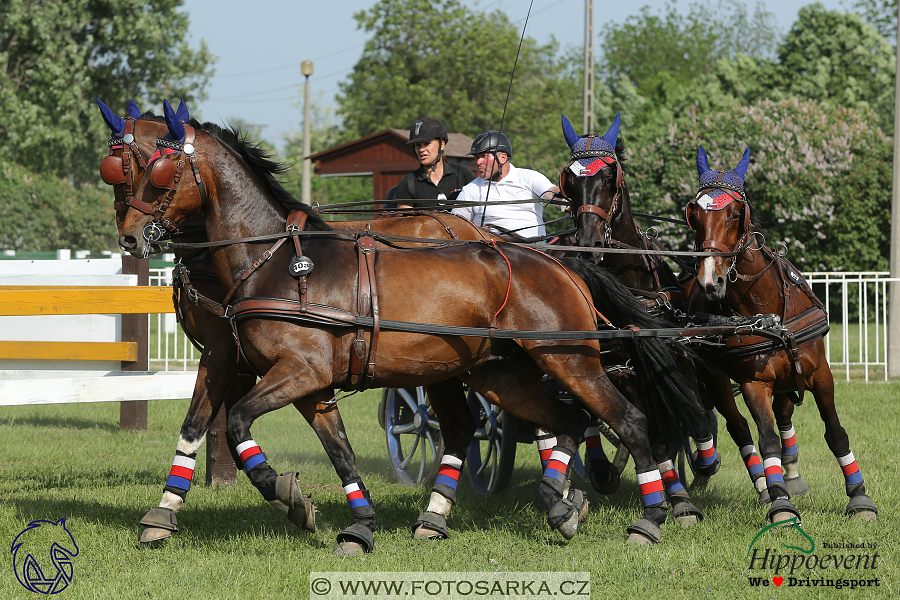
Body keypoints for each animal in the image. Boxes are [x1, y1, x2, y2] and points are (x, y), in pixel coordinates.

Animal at [116, 101, 712, 548]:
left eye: (158, 172)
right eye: (128, 171)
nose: (128, 236)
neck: (278, 260)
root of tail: (560, 260)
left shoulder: (299, 372)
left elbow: (238, 423)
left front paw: (282, 490)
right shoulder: (309, 385)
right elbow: (338, 450)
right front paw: (356, 524)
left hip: (570, 360)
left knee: (627, 420)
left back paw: (651, 516)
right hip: (501, 373)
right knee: (562, 421)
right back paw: (556, 504)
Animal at [684, 145, 876, 520]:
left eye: (734, 214)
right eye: (694, 215)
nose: (710, 280)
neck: (768, 309)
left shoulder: (819, 373)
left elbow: (836, 433)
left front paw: (859, 496)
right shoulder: (754, 383)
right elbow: (766, 438)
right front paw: (780, 502)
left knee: (785, 414)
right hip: (716, 377)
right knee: (739, 427)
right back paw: (760, 484)